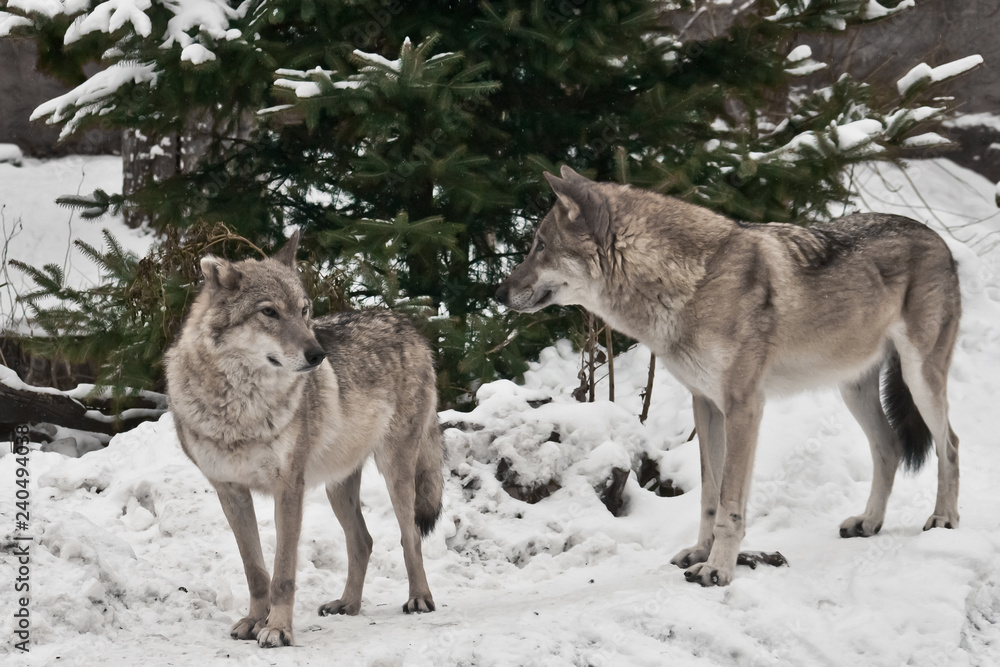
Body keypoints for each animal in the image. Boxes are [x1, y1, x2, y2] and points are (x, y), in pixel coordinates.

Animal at [164, 231, 443, 647]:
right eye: (269, 312)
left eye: (304, 310)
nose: (317, 354)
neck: (241, 410)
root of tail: (407, 324)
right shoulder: (230, 491)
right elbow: (255, 570)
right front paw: (254, 621)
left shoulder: (289, 488)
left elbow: (282, 574)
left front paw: (278, 629)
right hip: (336, 486)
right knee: (363, 541)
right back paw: (348, 604)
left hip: (395, 472)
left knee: (410, 537)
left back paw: (419, 598)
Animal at [497, 166, 961, 587]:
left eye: (540, 245)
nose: (497, 292)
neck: (692, 282)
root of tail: (938, 238)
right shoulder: (705, 405)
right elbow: (709, 496)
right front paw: (700, 553)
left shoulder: (744, 407)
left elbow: (729, 502)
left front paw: (718, 569)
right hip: (854, 390)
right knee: (890, 448)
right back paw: (869, 522)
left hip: (919, 379)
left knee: (950, 445)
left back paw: (944, 519)